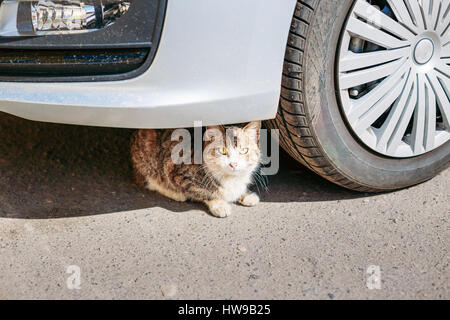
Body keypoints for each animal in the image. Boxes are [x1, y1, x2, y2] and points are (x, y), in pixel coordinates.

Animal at [130, 122, 262, 218]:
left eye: (244, 150)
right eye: (223, 150)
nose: (233, 164)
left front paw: (245, 195)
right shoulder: (175, 172)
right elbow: (203, 191)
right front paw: (219, 204)